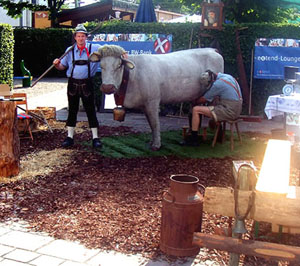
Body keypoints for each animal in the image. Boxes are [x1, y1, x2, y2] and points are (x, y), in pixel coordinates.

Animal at [90, 44, 224, 151]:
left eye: (119, 66)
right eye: (101, 65)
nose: (107, 87)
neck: (133, 75)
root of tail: (212, 50)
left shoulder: (152, 101)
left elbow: (155, 123)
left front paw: (156, 145)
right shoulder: (144, 105)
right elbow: (150, 123)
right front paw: (152, 141)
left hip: (217, 96)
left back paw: (218, 139)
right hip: (196, 96)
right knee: (195, 115)